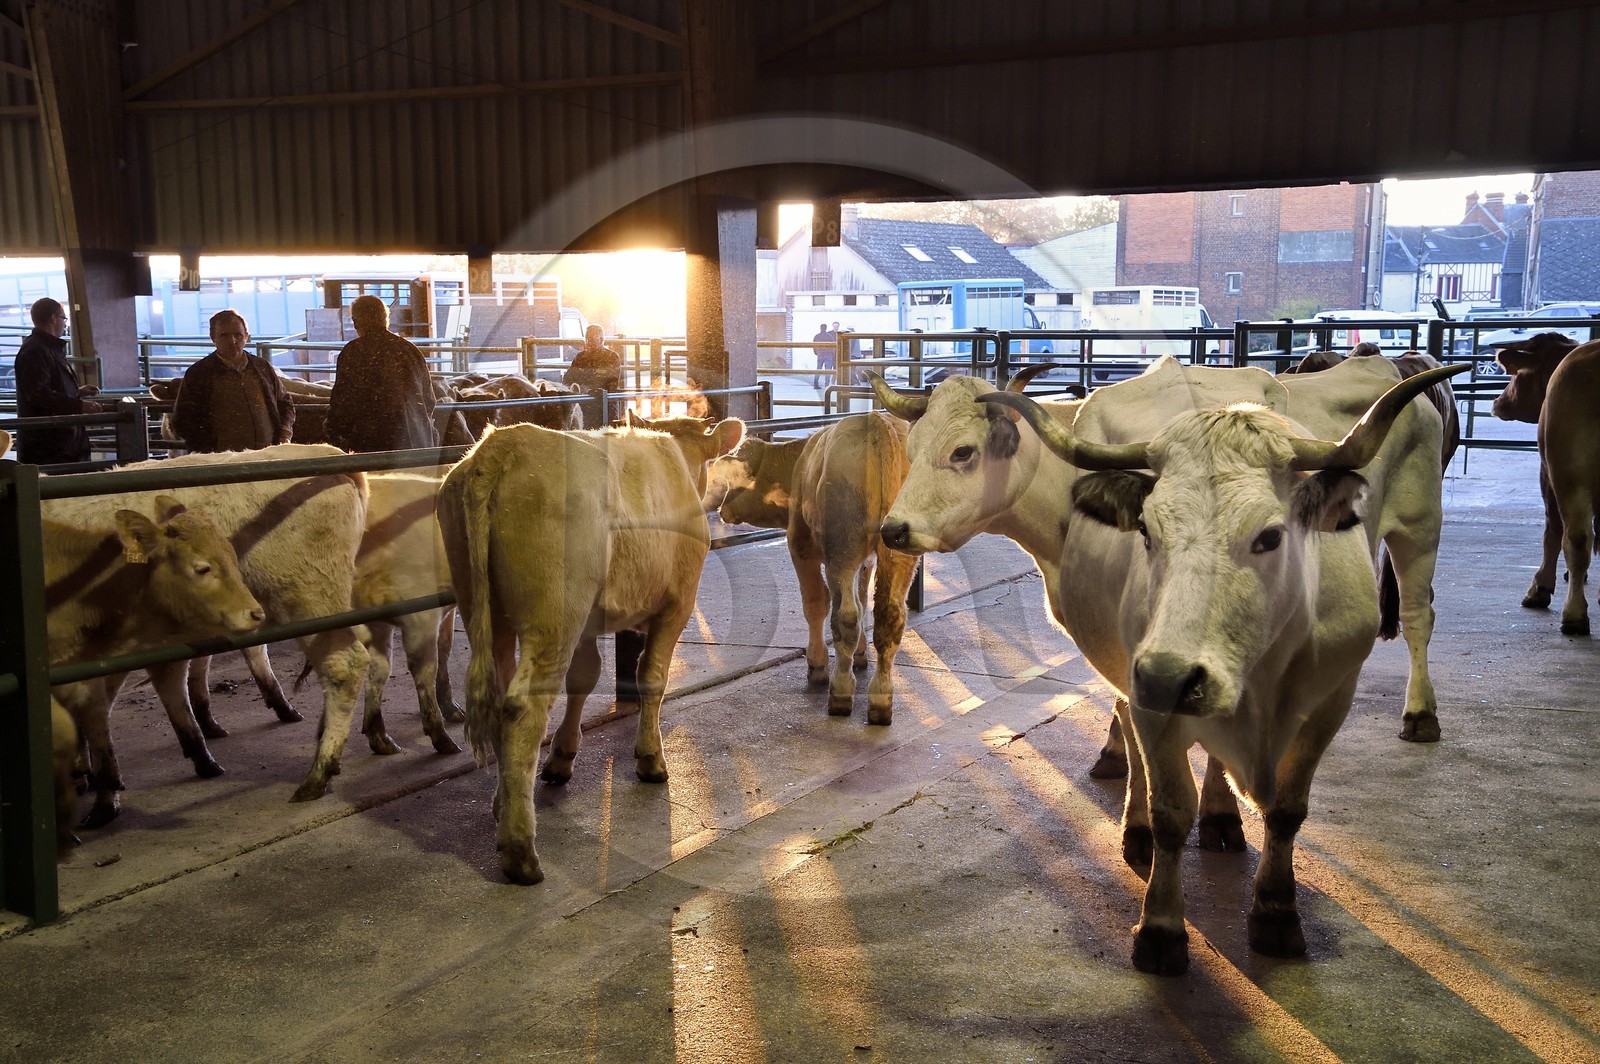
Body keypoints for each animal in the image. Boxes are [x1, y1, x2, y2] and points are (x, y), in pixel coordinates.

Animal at [437, 416, 745, 884]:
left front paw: (562, 757)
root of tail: (503, 444)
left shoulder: (588, 623)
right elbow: (651, 676)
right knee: (523, 708)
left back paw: (503, 802)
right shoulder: (677, 604)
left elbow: (586, 675)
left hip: (485, 611)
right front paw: (650, 758)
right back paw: (520, 851)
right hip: (555, 614)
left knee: (499, 699)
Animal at [701, 412, 918, 723]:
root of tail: (878, 423)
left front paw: (817, 665)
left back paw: (840, 690)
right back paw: (880, 699)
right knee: (889, 616)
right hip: (897, 553)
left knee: (845, 616)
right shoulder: (866, 561)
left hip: (840, 549)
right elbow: (863, 599)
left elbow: (815, 604)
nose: (720, 511)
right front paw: (861, 655)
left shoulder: (800, 545)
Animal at [983, 363, 1465, 975]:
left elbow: (1287, 810)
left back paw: (1418, 715)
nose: (1170, 678)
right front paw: (1160, 929)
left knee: (1419, 615)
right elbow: (1170, 810)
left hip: (1420, 530)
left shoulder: (1330, 701)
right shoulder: (1151, 694)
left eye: (1270, 535)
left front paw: (1276, 913)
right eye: (1147, 530)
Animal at [1493, 332, 1600, 633]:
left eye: (1515, 375)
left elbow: (1552, 528)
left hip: (1569, 474)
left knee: (1575, 537)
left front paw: (1540, 588)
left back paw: (1574, 614)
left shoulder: (1548, 471)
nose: (1497, 402)